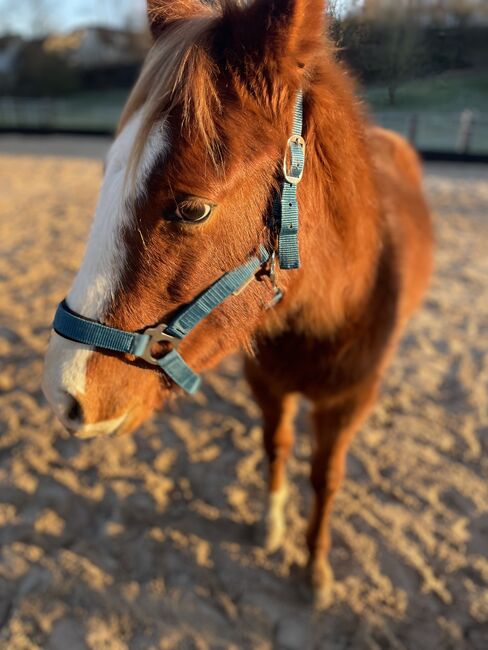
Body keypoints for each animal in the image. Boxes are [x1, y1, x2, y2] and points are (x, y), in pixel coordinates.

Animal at [41, 0, 430, 600]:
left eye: (192, 209)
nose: (64, 396)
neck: (328, 310)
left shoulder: (347, 403)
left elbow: (325, 477)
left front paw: (315, 567)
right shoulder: (267, 384)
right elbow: (276, 446)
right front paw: (271, 528)